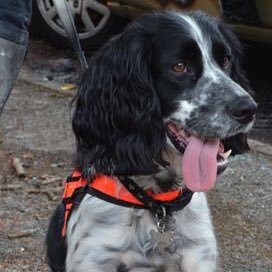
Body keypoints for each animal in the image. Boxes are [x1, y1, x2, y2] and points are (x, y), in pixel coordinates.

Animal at [46, 10, 258, 272]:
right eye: (179, 66)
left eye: (226, 60)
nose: (248, 109)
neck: (157, 203)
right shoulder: (94, 257)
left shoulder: (199, 254)